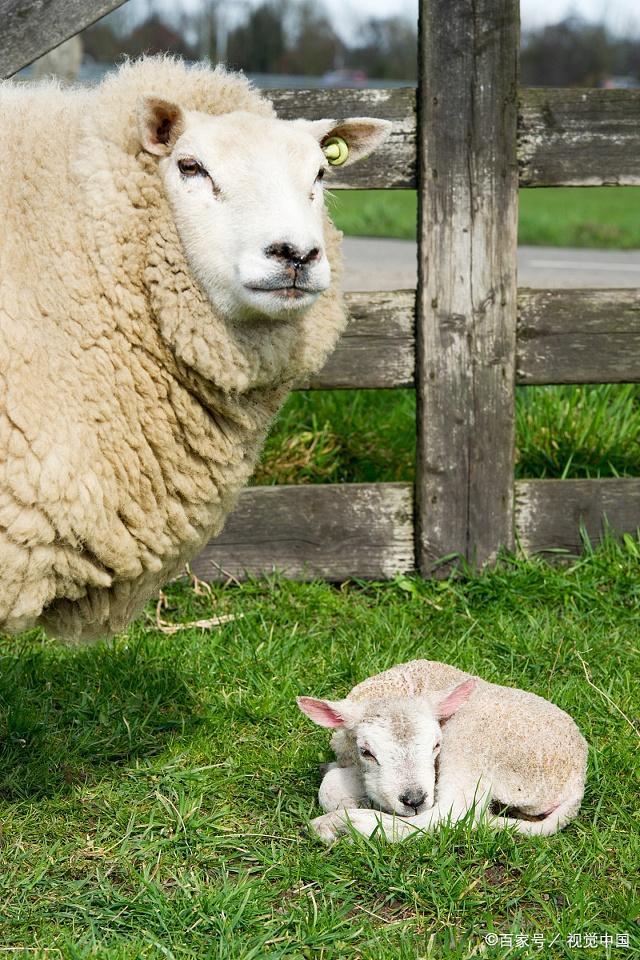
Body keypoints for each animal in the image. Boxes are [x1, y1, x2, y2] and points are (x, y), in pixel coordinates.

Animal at [298, 660, 588, 840]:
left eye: (436, 745)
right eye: (366, 752)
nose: (414, 800)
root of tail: (576, 783)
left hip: (474, 747)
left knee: (451, 816)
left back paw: (342, 825)